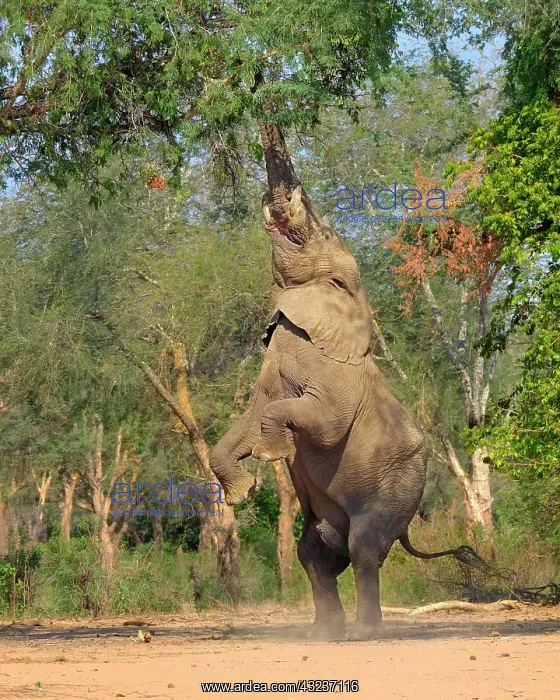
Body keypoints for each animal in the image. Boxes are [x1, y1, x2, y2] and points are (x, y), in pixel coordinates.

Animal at [209, 185, 487, 640]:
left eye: (322, 232)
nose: (287, 196)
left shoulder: (339, 377)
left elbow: (324, 426)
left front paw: (271, 452)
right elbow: (248, 420)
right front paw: (242, 491)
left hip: (397, 487)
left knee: (363, 549)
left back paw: (363, 633)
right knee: (313, 554)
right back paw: (322, 634)